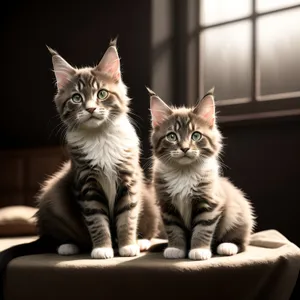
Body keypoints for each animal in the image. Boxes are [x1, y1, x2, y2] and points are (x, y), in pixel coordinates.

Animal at [149, 87, 254, 260]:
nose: (185, 148)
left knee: (242, 242)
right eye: (172, 136)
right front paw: (176, 248)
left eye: (196, 135)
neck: (183, 173)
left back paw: (227, 246)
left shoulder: (209, 202)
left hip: (239, 215)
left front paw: (199, 250)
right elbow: (174, 230)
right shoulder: (167, 206)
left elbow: (203, 229)